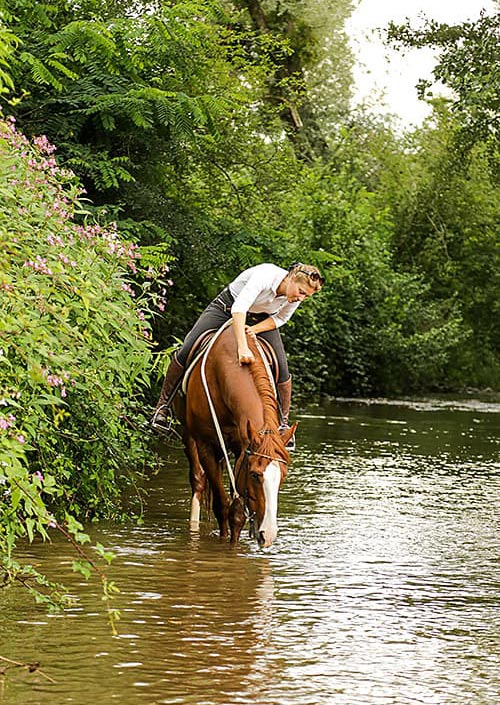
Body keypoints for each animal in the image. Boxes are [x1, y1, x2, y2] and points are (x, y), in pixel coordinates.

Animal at [179, 326, 296, 552]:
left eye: (283, 476)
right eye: (255, 475)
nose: (268, 534)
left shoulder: (241, 448)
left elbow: (237, 515)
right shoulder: (206, 445)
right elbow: (222, 507)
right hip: (189, 436)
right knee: (198, 480)